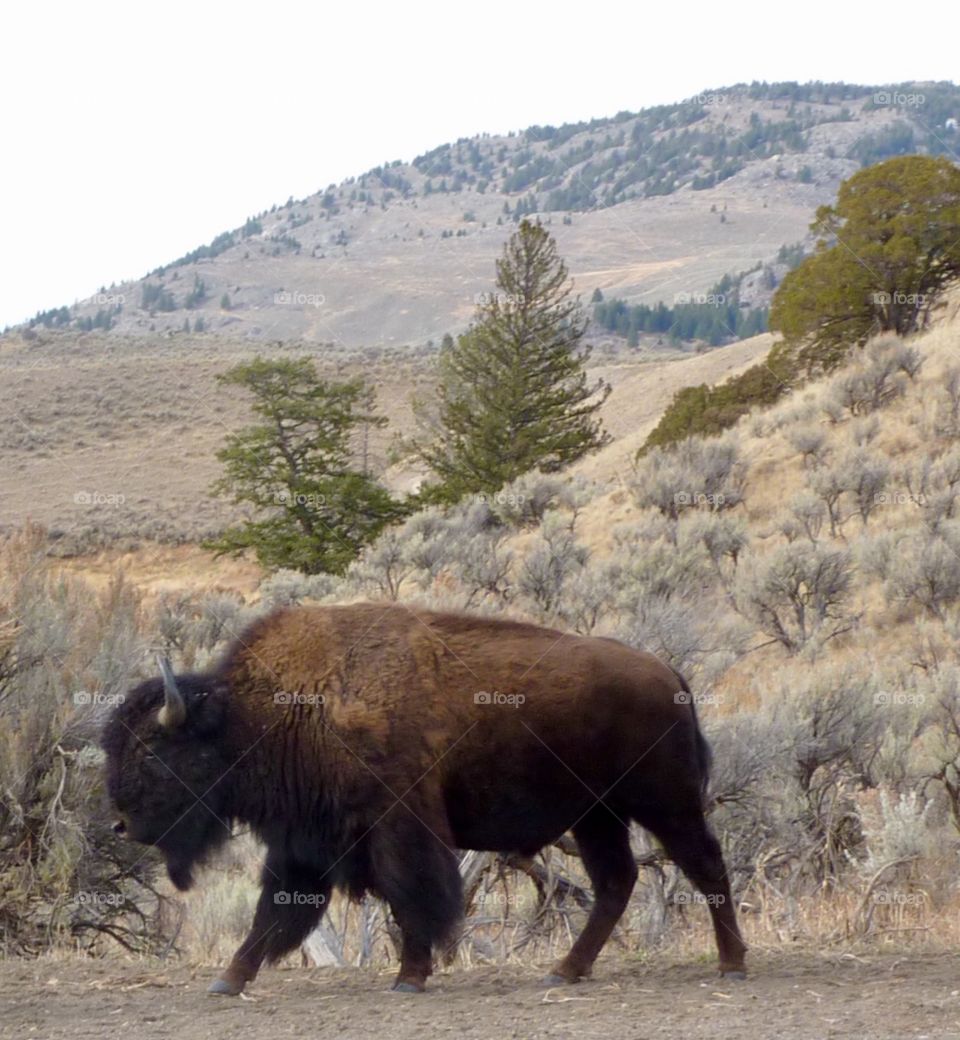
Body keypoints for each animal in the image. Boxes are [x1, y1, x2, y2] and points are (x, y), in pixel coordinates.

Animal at [102, 602, 746, 994]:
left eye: (154, 754)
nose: (123, 825)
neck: (265, 714)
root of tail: (670, 676)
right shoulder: (304, 839)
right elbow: (276, 910)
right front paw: (229, 979)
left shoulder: (398, 823)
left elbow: (411, 893)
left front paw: (410, 975)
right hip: (595, 815)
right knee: (616, 882)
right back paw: (565, 971)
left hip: (665, 803)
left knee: (706, 865)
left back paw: (732, 963)